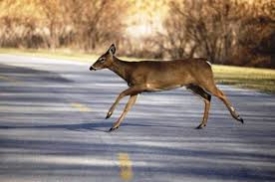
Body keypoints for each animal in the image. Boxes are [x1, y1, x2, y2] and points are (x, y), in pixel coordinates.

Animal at [89, 44, 245, 132]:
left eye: (102, 59)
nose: (91, 67)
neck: (128, 71)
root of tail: (207, 62)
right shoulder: (138, 90)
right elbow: (128, 108)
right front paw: (113, 126)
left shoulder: (140, 84)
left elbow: (120, 94)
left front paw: (108, 115)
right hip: (192, 85)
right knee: (208, 97)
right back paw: (201, 125)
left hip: (206, 80)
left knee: (220, 94)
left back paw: (238, 117)